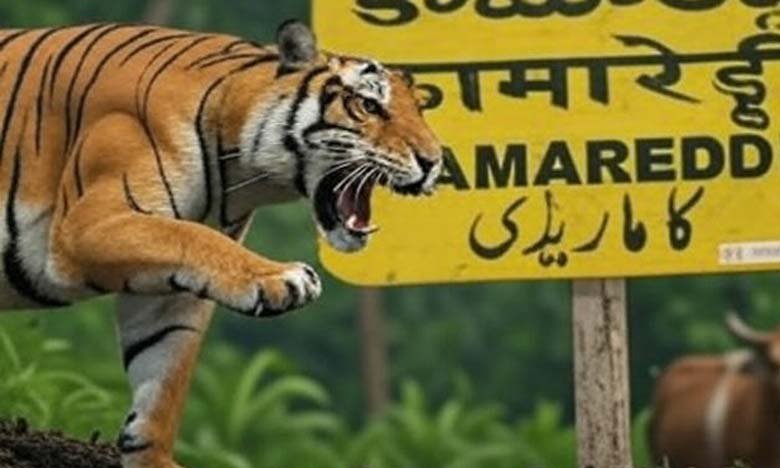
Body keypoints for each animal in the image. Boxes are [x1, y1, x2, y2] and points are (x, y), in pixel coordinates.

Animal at [0, 20, 442, 468]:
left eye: (419, 109)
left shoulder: (165, 296)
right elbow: (192, 236)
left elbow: (163, 381)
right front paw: (282, 279)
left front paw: (152, 458)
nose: (434, 162)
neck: (240, 173)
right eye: (368, 105)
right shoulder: (84, 226)